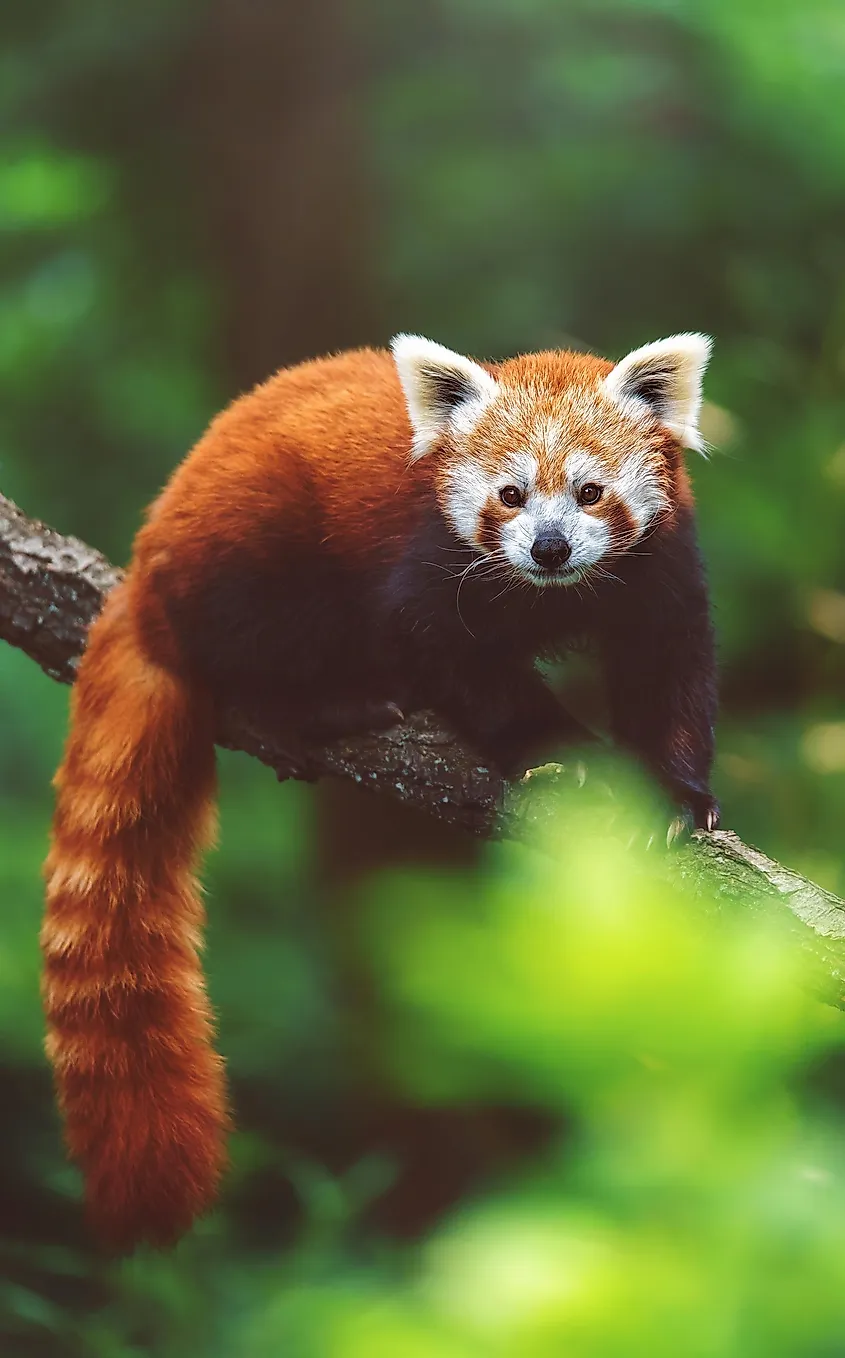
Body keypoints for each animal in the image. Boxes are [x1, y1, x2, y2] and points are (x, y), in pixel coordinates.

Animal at [41, 334, 722, 1243]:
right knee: (263, 639)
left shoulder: (661, 572)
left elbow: (670, 676)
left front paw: (677, 796)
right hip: (260, 542)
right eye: (510, 494)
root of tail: (147, 565)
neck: (545, 597)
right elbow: (452, 657)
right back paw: (332, 702)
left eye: (589, 492)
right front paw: (557, 748)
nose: (547, 548)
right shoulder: (428, 566)